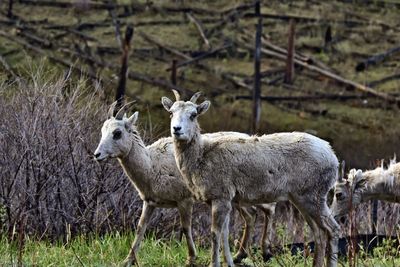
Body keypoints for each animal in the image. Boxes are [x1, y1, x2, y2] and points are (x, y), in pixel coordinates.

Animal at [94, 102, 276, 266]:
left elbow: (185, 228)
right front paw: (127, 260)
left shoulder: (184, 200)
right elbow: (140, 228)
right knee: (251, 215)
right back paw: (239, 256)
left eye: (117, 133)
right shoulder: (150, 202)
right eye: (102, 131)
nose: (97, 154)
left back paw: (265, 252)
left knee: (269, 208)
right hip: (236, 199)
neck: (152, 167)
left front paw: (191, 258)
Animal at [161, 91, 340, 267]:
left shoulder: (221, 195)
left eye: (193, 114)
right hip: (301, 197)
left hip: (313, 194)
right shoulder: (223, 199)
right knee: (318, 232)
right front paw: (230, 262)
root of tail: (334, 158)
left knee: (333, 229)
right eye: (171, 113)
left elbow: (215, 233)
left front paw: (215, 263)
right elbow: (225, 233)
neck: (200, 160)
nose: (176, 129)